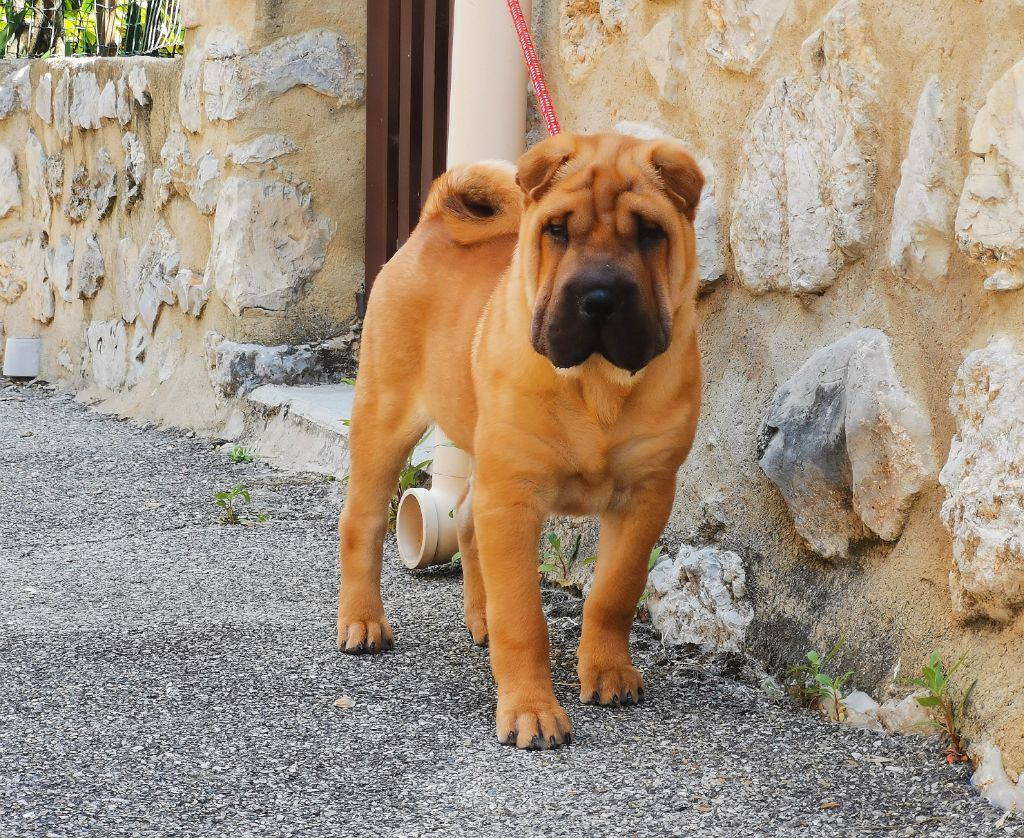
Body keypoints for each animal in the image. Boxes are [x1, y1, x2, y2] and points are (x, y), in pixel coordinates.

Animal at [335, 132, 704, 749]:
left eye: (650, 232)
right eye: (557, 230)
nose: (598, 297)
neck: (596, 381)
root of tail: (436, 220)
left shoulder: (646, 495)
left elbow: (614, 592)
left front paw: (607, 670)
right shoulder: (512, 497)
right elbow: (524, 616)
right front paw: (531, 710)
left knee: (463, 518)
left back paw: (479, 619)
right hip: (383, 418)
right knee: (361, 522)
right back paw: (362, 622)